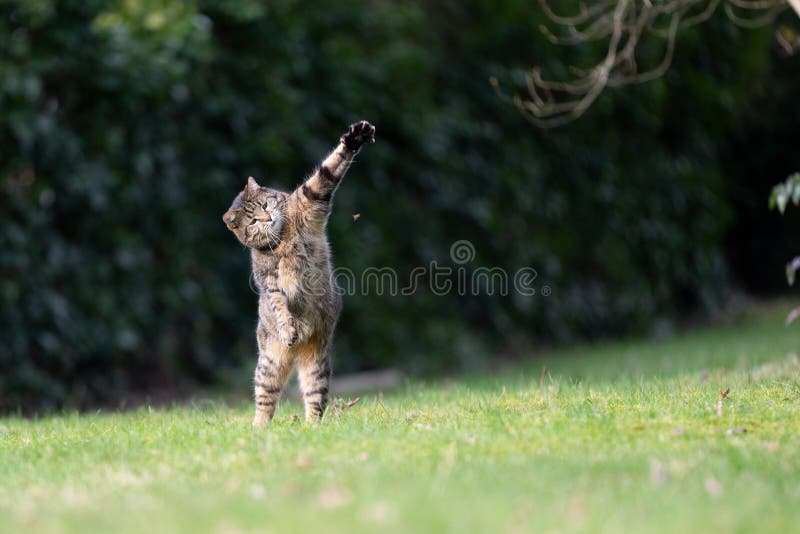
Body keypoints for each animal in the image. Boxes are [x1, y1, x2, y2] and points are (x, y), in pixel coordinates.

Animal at [223, 121, 376, 428]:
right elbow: (280, 306)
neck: (282, 237)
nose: (268, 218)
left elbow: (328, 170)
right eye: (253, 221)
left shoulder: (311, 197)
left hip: (316, 365)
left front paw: (356, 137)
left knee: (314, 399)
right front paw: (288, 328)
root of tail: (295, 355)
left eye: (266, 205)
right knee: (265, 399)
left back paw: (311, 427)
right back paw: (259, 427)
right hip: (269, 365)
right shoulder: (270, 284)